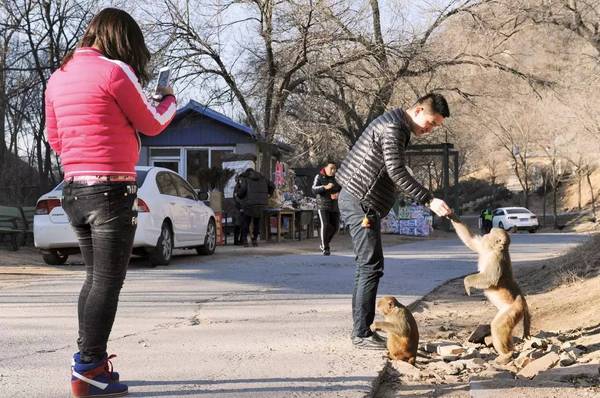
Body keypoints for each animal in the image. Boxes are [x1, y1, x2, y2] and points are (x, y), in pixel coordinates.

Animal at [450, 215, 528, 360]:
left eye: (491, 233)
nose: (486, 233)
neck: (494, 250)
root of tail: (522, 302)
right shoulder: (484, 247)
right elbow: (470, 241)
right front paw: (447, 212)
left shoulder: (496, 260)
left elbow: (491, 279)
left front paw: (467, 282)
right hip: (507, 311)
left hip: (513, 309)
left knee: (498, 327)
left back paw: (507, 354)